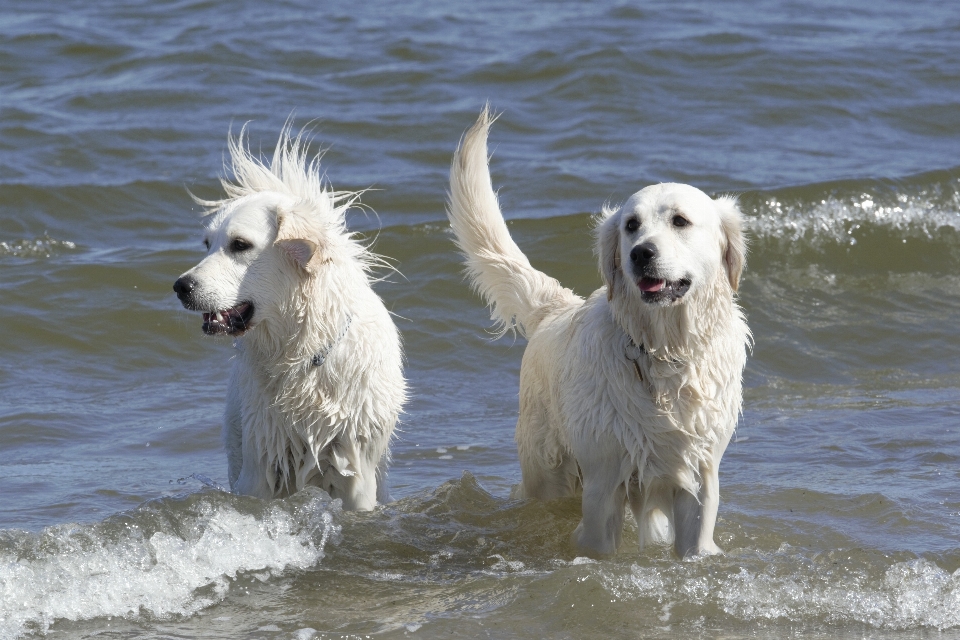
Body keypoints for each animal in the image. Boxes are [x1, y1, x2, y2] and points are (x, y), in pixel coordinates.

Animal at [172, 126, 404, 510]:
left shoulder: (357, 468)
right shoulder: (260, 463)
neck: (302, 353)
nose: (180, 286)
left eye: (239, 245)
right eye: (207, 245)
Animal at [446, 109, 752, 556]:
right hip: (549, 471)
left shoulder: (700, 475)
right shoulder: (604, 481)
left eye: (680, 221)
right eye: (631, 225)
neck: (662, 351)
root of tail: (558, 306)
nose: (641, 253)